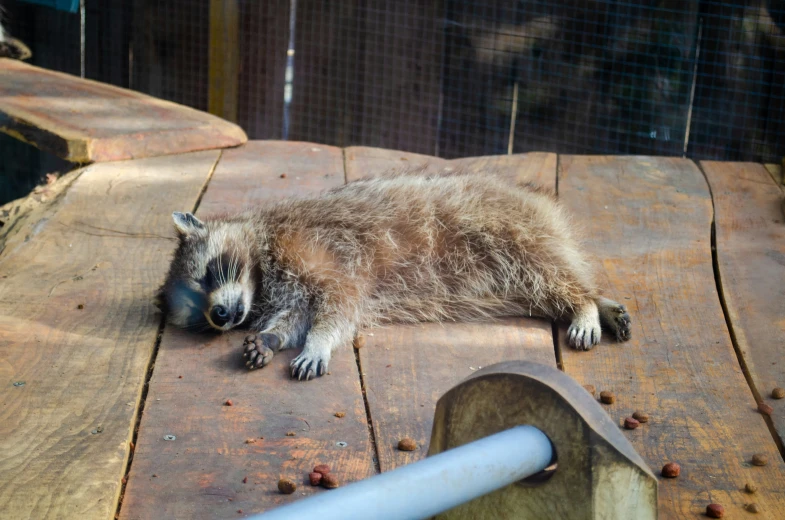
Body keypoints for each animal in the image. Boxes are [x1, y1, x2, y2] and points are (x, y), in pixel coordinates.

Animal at [158, 169, 632, 380]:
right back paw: (601, 303)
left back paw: (586, 305)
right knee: (549, 287)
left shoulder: (318, 252)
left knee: (554, 275)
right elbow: (296, 315)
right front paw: (271, 337)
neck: (259, 273)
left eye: (207, 276)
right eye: (199, 312)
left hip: (510, 232)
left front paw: (316, 342)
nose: (221, 316)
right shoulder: (285, 289)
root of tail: (537, 199)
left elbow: (339, 306)